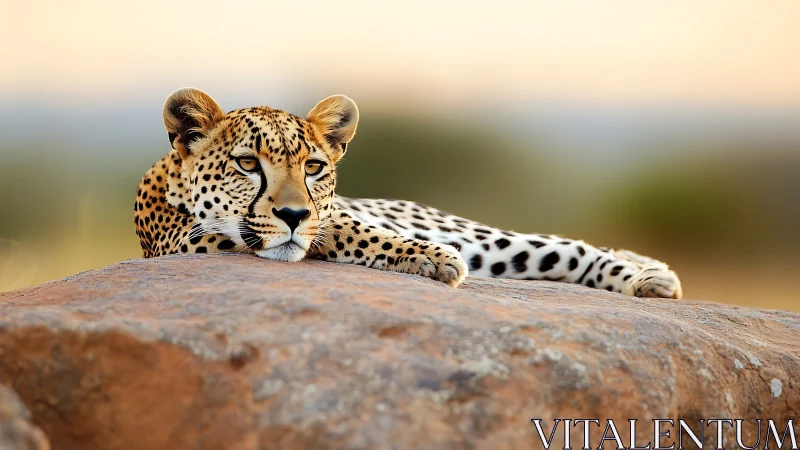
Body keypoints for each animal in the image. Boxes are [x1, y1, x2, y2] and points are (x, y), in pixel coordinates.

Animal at [134, 88, 682, 298]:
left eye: (313, 167)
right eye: (247, 164)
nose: (293, 213)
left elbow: (345, 228)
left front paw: (431, 257)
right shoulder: (199, 241)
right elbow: (348, 236)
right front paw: (432, 260)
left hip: (488, 240)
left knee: (572, 246)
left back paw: (650, 277)